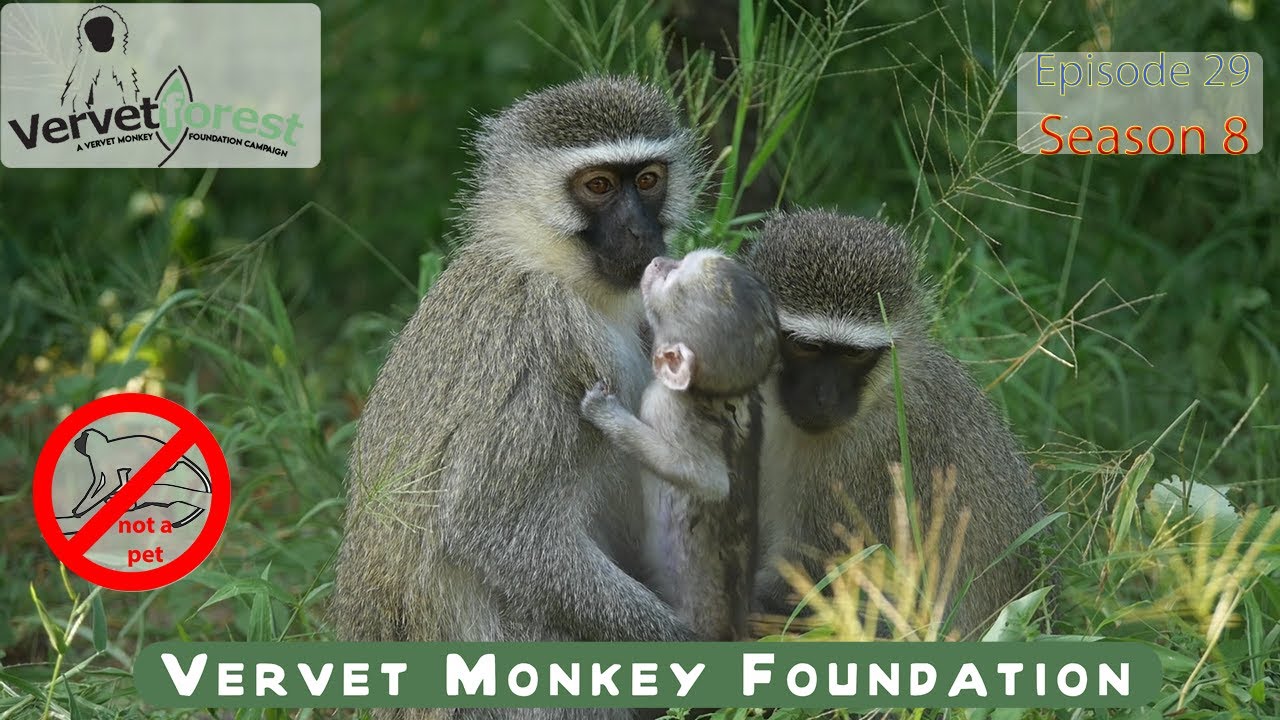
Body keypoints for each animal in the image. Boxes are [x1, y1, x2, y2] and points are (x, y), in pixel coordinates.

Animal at [331, 77, 705, 720]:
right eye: (598, 186)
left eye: (648, 180)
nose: (642, 233)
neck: (547, 264)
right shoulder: (543, 343)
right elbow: (492, 528)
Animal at [580, 249, 779, 641]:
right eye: (682, 261)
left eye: (671, 282)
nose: (659, 261)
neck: (714, 395)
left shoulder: (665, 404)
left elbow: (710, 481)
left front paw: (607, 415)